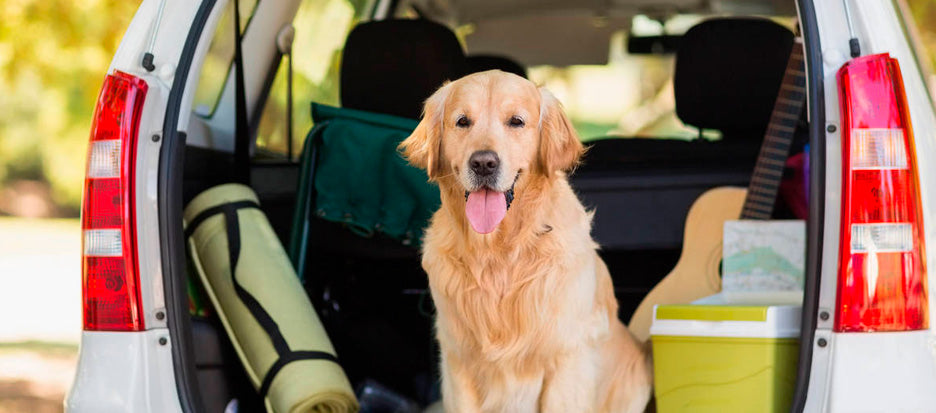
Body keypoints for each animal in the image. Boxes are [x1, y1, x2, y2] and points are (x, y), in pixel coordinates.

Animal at [400, 69, 652, 410]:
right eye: (462, 121)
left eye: (516, 121)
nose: (483, 163)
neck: (499, 252)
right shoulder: (458, 363)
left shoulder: (566, 360)